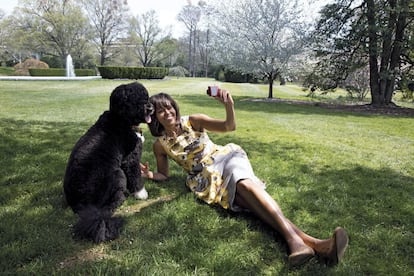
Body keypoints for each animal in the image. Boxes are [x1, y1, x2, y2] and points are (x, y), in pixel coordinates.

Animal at [61, 81, 152, 242]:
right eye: (138, 100)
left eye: (146, 96)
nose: (151, 108)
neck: (122, 120)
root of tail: (79, 204)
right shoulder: (131, 159)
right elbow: (135, 177)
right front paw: (141, 194)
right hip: (117, 174)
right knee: (111, 204)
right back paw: (122, 198)